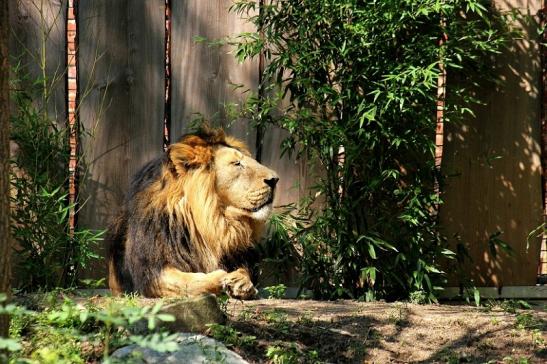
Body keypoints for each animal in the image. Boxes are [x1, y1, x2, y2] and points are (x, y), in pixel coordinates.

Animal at [107, 127, 278, 298]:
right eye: (237, 163)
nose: (275, 180)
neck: (213, 224)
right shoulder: (148, 272)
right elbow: (188, 282)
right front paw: (220, 276)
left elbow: (244, 271)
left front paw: (242, 281)